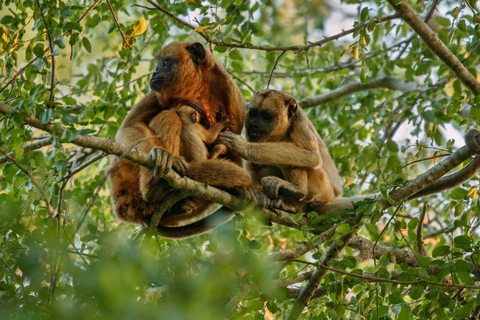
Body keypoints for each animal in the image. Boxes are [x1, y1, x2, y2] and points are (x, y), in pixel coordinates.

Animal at [110, 41, 248, 234]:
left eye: (166, 63)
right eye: (157, 66)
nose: (154, 73)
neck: (199, 87)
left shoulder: (234, 98)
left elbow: (232, 148)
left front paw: (240, 189)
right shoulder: (156, 93)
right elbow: (130, 126)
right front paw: (159, 154)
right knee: (169, 116)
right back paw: (156, 185)